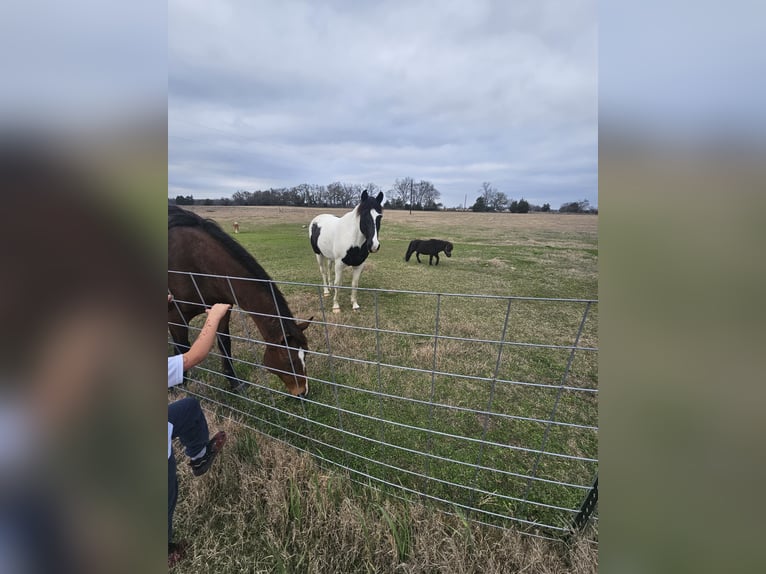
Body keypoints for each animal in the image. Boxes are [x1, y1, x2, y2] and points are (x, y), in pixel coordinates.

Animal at [169, 207, 312, 400]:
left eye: (306, 355)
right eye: (289, 361)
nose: (303, 392)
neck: (196, 264)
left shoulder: (221, 309)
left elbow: (224, 343)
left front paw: (235, 384)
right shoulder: (176, 316)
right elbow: (182, 348)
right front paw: (178, 386)